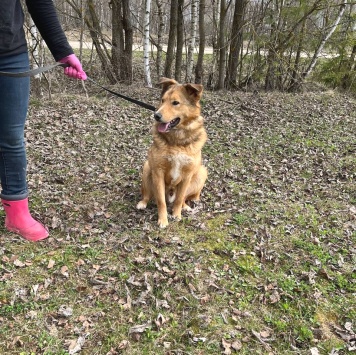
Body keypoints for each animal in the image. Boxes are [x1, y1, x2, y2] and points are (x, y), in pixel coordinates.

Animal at [137, 77, 209, 229]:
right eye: (162, 100)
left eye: (175, 103)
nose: (156, 115)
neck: (177, 142)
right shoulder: (158, 172)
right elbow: (160, 201)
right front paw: (163, 220)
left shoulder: (187, 174)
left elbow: (180, 198)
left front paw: (176, 214)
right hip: (147, 167)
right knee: (147, 194)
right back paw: (143, 202)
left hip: (201, 172)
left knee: (184, 198)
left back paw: (185, 207)